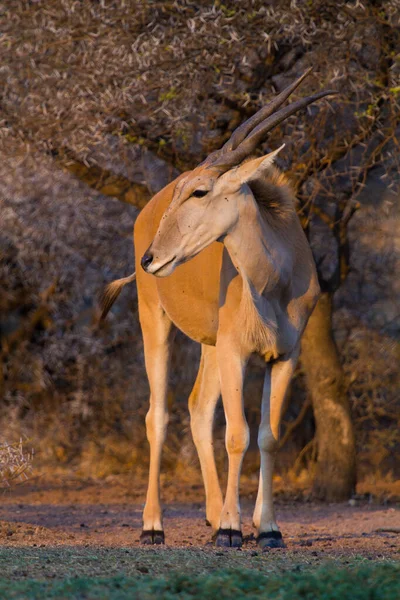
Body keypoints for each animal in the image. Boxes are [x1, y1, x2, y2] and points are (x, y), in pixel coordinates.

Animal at [101, 69, 334, 548]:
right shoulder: (236, 353)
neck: (275, 281)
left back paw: (212, 514)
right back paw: (154, 526)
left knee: (197, 408)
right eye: (187, 189)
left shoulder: (284, 357)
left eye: (200, 190)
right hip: (157, 323)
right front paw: (230, 529)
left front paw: (268, 529)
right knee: (158, 416)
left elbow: (268, 436)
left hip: (210, 346)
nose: (150, 258)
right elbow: (238, 435)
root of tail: (143, 215)